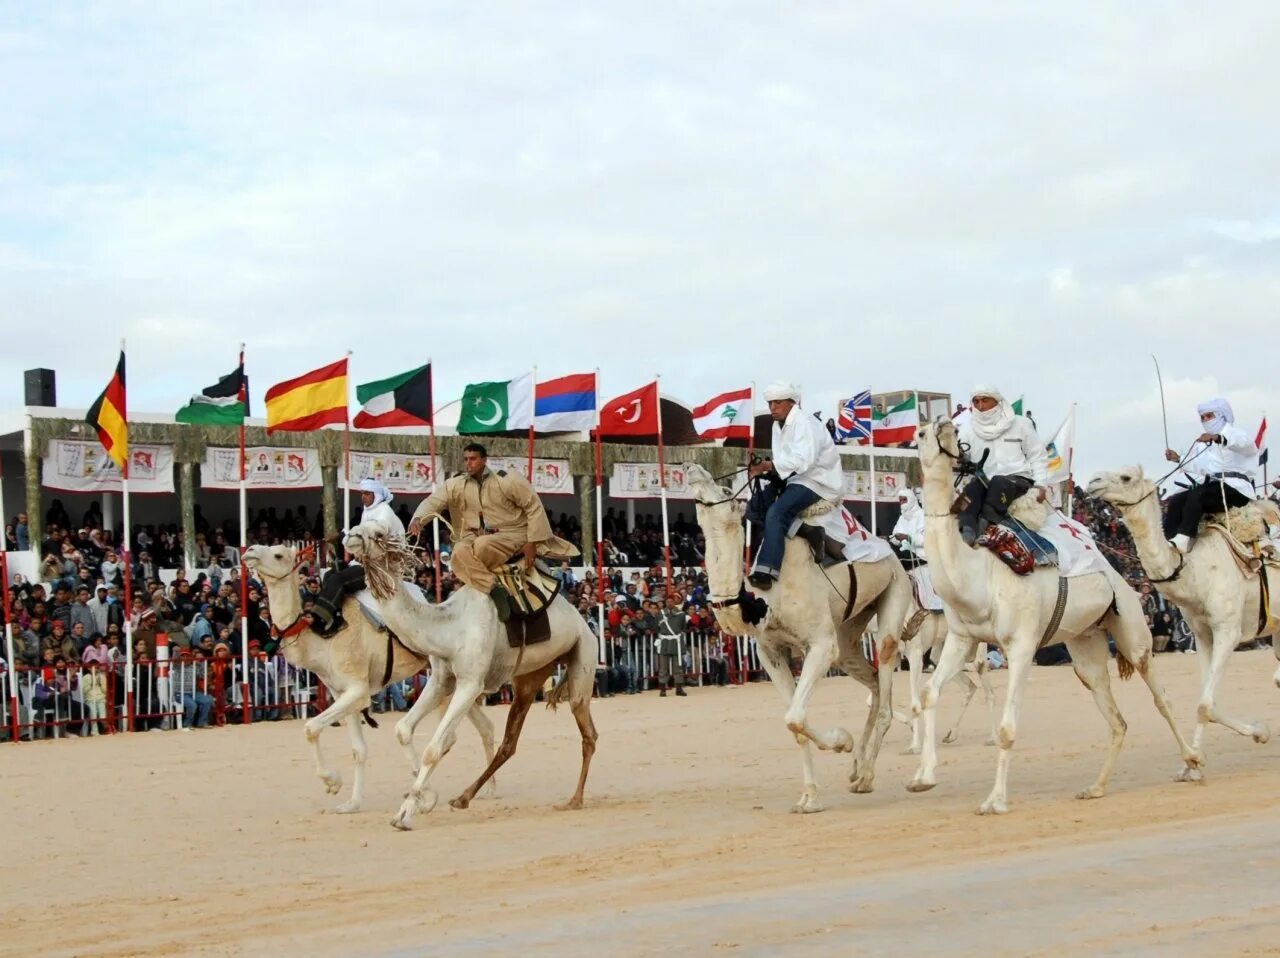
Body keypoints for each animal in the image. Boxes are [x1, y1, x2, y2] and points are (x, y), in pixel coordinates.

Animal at [241, 543, 496, 814]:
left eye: (278, 554)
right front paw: (351, 803)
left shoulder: (357, 689)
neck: (322, 639)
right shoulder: (341, 692)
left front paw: (333, 782)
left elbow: (311, 728)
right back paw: (487, 789)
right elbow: (358, 750)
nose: (250, 551)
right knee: (483, 727)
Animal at [343, 519, 596, 824]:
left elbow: (434, 748)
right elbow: (403, 729)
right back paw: (463, 798)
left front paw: (406, 814)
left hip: (583, 656)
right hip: (530, 676)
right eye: (358, 523)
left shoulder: (470, 683)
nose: (350, 538)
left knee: (588, 733)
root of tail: (582, 621)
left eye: (379, 533)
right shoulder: (441, 679)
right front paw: (420, 801)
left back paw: (575, 800)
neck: (449, 627)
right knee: (509, 742)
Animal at [691, 461, 911, 809]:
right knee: (875, 684)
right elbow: (794, 723)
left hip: (893, 592)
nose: (693, 468)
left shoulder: (820, 644)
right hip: (848, 635)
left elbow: (794, 716)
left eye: (725, 490)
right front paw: (809, 797)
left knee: (887, 675)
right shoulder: (770, 651)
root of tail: (890, 552)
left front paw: (842, 741)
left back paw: (865, 777)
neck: (766, 594)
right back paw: (857, 767)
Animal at [911, 422, 1198, 814]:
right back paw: (1095, 788)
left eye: (952, 430)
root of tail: (1122, 577)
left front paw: (994, 801)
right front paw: (923, 777)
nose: (944, 425)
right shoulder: (961, 638)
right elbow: (928, 693)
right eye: (921, 433)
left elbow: (1007, 729)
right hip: (1086, 647)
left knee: (1161, 697)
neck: (977, 574)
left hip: (1133, 630)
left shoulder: (1021, 644)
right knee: (1116, 719)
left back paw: (1193, 763)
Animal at [1085, 468, 1274, 758]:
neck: (1197, 574)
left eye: (1126, 477)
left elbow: (1205, 705)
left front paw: (1194, 761)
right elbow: (1209, 704)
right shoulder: (1203, 633)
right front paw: (1258, 732)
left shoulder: (1228, 631)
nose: (1092, 482)